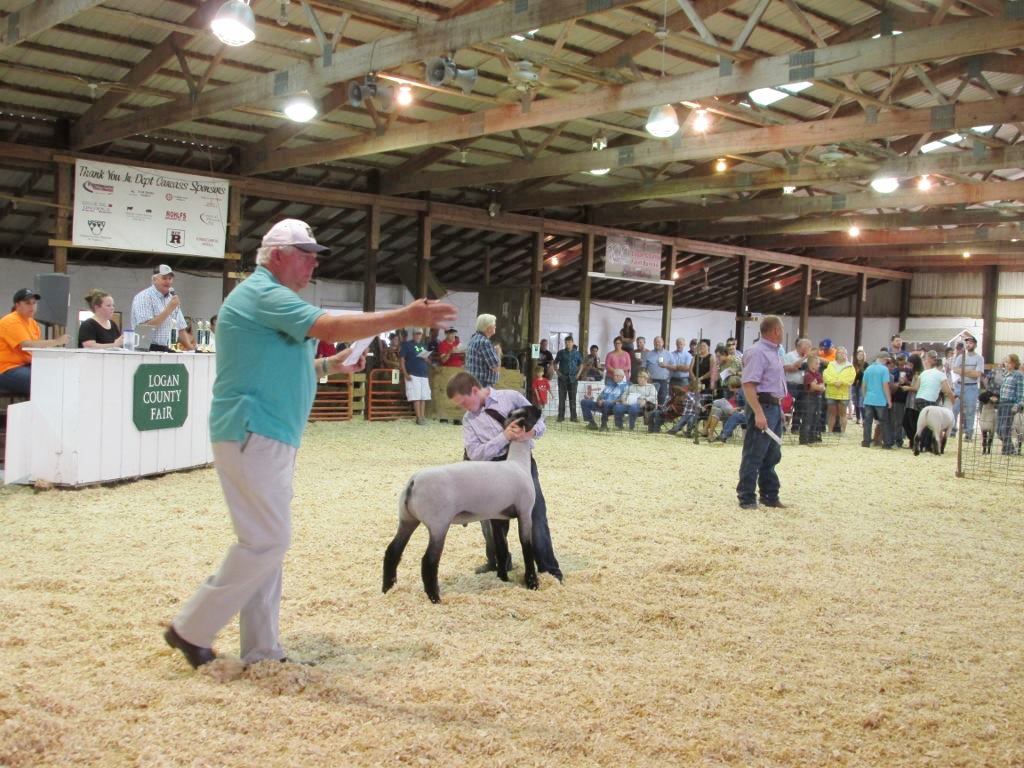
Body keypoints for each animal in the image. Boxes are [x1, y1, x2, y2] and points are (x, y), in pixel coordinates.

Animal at [382, 406, 542, 603]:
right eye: (529, 412)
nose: (540, 409)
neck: (518, 463)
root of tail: (413, 482)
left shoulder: (497, 516)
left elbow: (502, 549)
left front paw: (503, 579)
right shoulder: (524, 512)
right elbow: (527, 547)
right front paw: (532, 583)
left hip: (407, 519)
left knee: (392, 552)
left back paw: (387, 589)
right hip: (438, 524)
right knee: (428, 561)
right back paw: (435, 598)